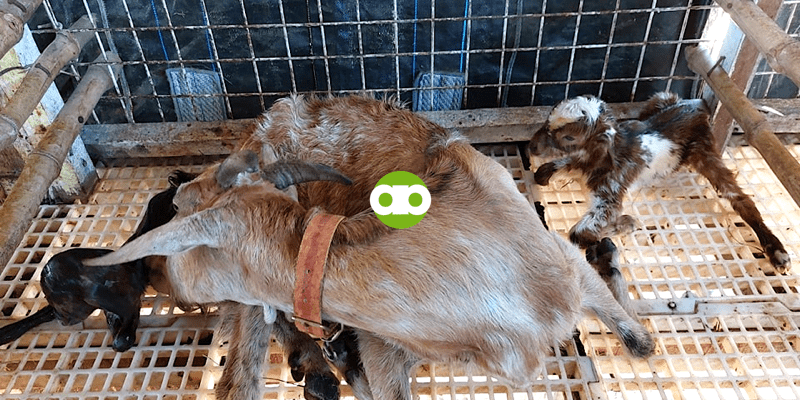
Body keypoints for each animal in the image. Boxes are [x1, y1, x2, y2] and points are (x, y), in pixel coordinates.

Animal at [86, 95, 655, 400]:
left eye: (183, 220)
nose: (153, 271)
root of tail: (269, 121)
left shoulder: (560, 259)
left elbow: (616, 315)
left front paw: (634, 327)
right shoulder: (382, 345)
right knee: (246, 366)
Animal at [527, 92, 791, 274]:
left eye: (568, 137)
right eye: (547, 122)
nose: (532, 146)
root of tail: (699, 105)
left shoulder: (610, 194)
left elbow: (578, 234)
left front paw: (625, 223)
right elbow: (546, 171)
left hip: (704, 152)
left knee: (741, 199)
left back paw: (777, 252)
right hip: (659, 99)